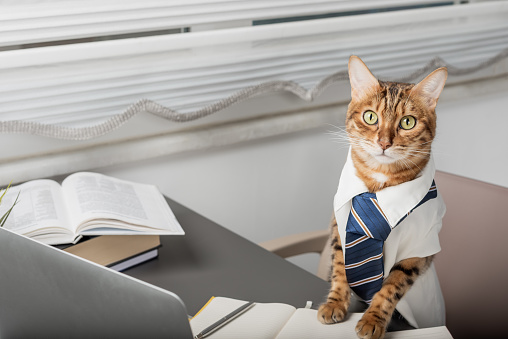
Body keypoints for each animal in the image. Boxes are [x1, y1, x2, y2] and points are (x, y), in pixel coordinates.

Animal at [320, 56, 446, 339]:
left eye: (408, 122)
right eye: (370, 117)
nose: (384, 142)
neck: (378, 183)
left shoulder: (419, 250)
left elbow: (390, 288)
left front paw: (373, 318)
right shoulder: (339, 227)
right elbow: (341, 268)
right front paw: (335, 302)